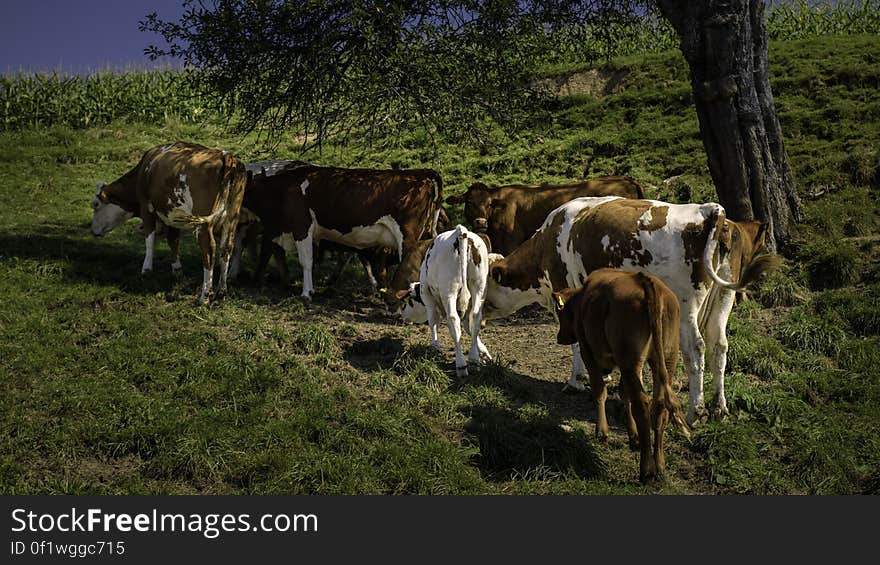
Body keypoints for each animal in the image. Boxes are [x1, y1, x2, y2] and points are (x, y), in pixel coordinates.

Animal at [91, 141, 249, 302]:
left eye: (95, 205)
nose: (93, 230)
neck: (145, 171)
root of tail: (226, 156)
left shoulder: (146, 208)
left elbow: (149, 239)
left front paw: (146, 269)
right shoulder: (172, 215)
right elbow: (173, 240)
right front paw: (177, 269)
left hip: (203, 225)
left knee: (209, 250)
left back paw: (205, 296)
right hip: (231, 219)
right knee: (226, 248)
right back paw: (222, 290)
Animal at [484, 196, 780, 420]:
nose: (481, 316)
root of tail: (710, 210)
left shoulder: (566, 290)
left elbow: (578, 342)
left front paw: (576, 381)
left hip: (687, 305)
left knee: (696, 349)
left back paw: (695, 411)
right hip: (724, 297)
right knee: (719, 345)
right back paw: (719, 407)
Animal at [552, 270, 692, 482]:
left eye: (560, 312)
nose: (560, 337)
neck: (583, 299)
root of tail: (646, 281)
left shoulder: (588, 352)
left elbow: (600, 391)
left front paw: (602, 433)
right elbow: (624, 394)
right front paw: (633, 437)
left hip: (630, 361)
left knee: (641, 404)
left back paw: (646, 470)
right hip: (665, 360)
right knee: (658, 405)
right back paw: (659, 465)